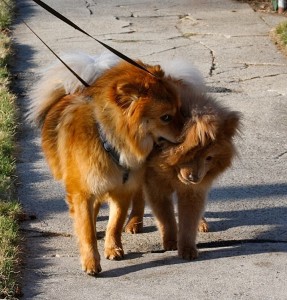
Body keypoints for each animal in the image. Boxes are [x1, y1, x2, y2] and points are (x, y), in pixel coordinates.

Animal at [28, 52, 183, 276]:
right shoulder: (83, 192)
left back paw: (134, 222)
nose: (189, 129)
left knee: (138, 197)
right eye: (166, 117)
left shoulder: (122, 190)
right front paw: (91, 261)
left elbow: (115, 223)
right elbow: (86, 230)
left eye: (180, 110)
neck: (109, 141)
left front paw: (113, 248)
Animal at [126, 87, 241, 260]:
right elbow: (166, 217)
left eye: (209, 158)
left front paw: (187, 249)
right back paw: (134, 224)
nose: (195, 177)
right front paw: (170, 242)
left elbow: (188, 220)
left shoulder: (192, 190)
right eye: (189, 155)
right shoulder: (155, 184)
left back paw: (202, 223)